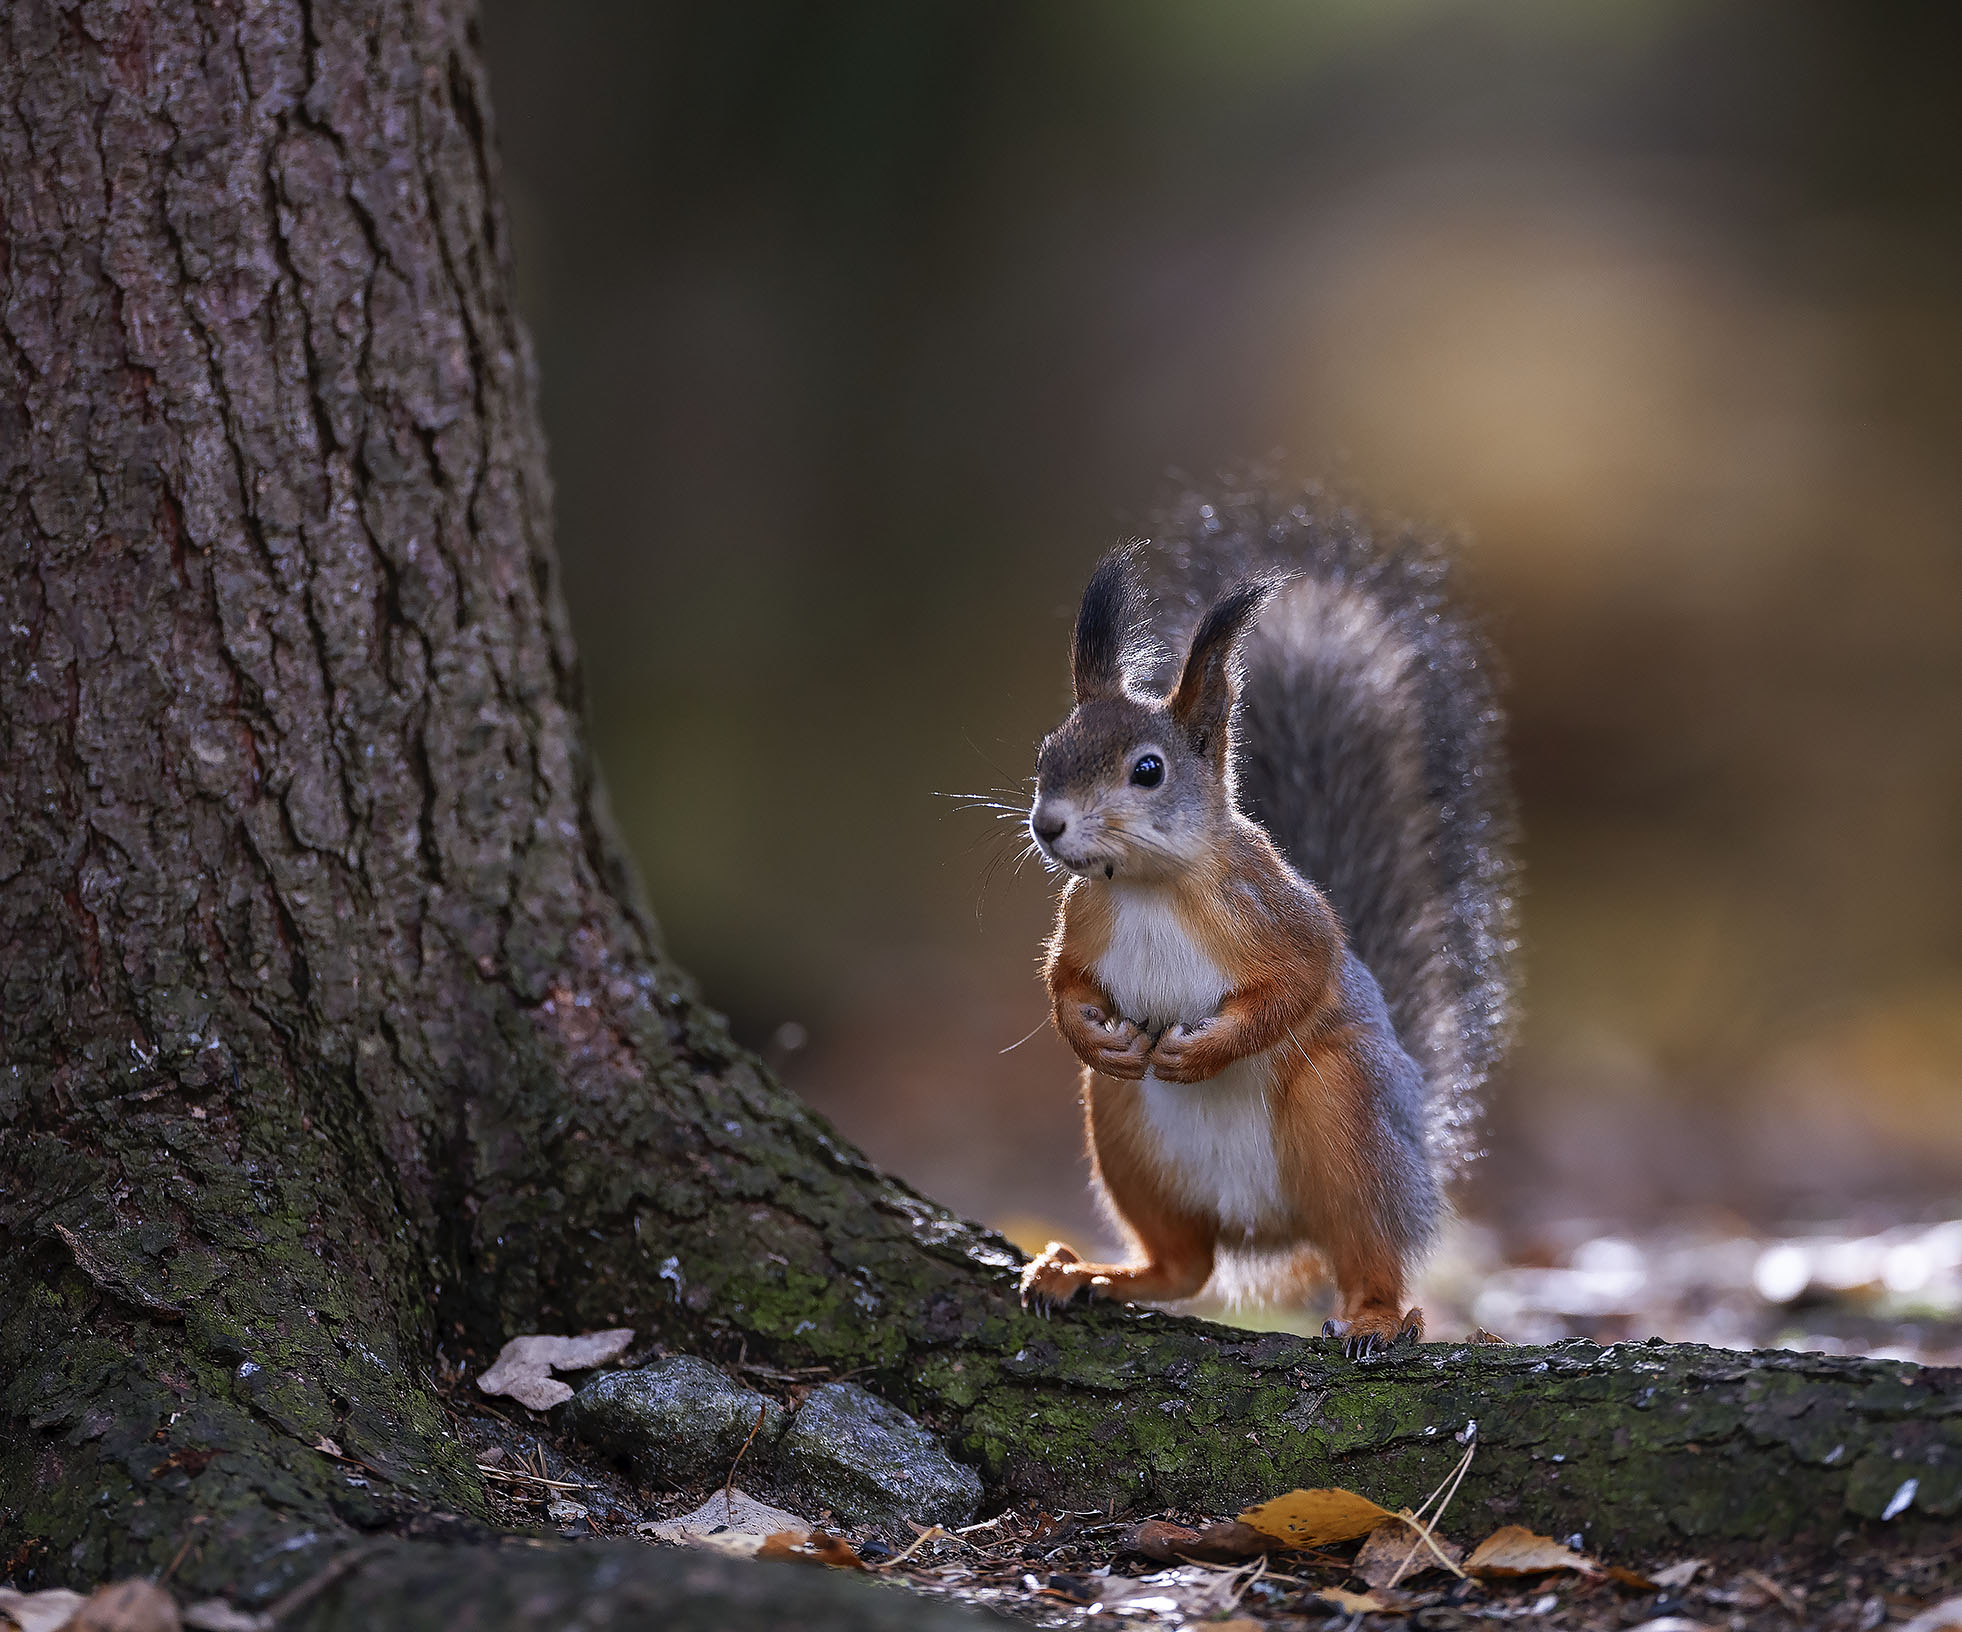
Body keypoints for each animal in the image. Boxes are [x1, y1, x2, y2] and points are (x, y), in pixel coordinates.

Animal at [1020, 484, 1506, 1365]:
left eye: (1149, 770)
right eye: (1049, 751)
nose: (1048, 826)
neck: (1149, 887)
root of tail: (1266, 1230)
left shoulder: (1281, 912)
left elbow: (1301, 980)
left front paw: (1209, 1048)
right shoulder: (1083, 919)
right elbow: (1064, 979)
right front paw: (1086, 1032)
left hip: (1347, 1112)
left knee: (1369, 1255)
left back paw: (1377, 1317)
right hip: (1126, 1133)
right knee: (1185, 1266)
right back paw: (1092, 1273)